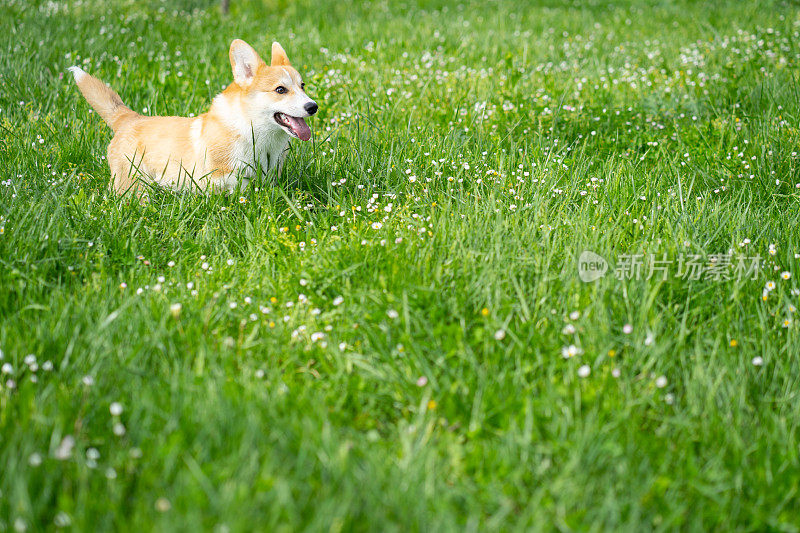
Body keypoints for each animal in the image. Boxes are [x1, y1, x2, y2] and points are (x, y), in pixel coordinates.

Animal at [69, 39, 318, 193]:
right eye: (280, 90)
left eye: (302, 86)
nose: (313, 106)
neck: (252, 129)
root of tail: (128, 118)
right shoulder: (217, 178)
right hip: (132, 184)